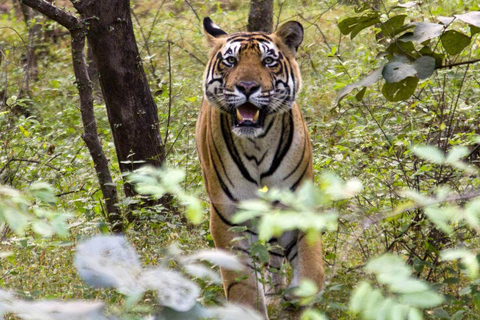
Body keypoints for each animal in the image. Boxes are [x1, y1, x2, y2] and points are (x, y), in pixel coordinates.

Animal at [196, 17, 326, 320]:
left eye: (268, 61)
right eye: (230, 61)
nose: (246, 87)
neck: (257, 144)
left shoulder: (299, 208)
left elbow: (312, 271)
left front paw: (295, 296)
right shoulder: (229, 219)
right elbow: (243, 288)